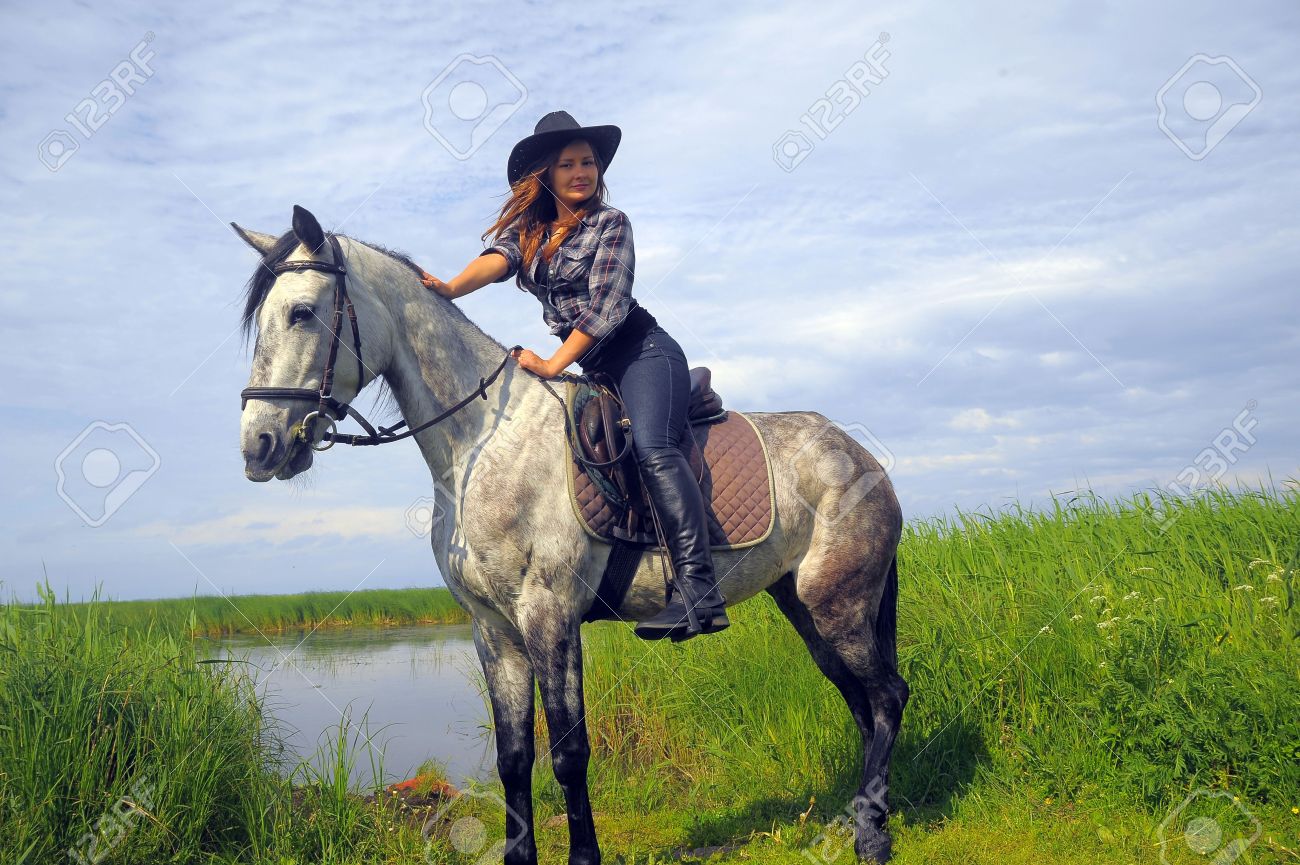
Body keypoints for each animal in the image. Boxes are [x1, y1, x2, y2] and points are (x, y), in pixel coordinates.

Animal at [231, 205, 904, 858]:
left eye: (302, 312)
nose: (258, 447)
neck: (481, 443)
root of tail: (861, 456)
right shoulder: (493, 629)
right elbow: (513, 758)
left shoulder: (548, 614)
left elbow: (569, 754)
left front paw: (584, 855)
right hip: (804, 604)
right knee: (862, 704)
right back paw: (863, 817)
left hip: (840, 604)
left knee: (887, 698)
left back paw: (870, 835)